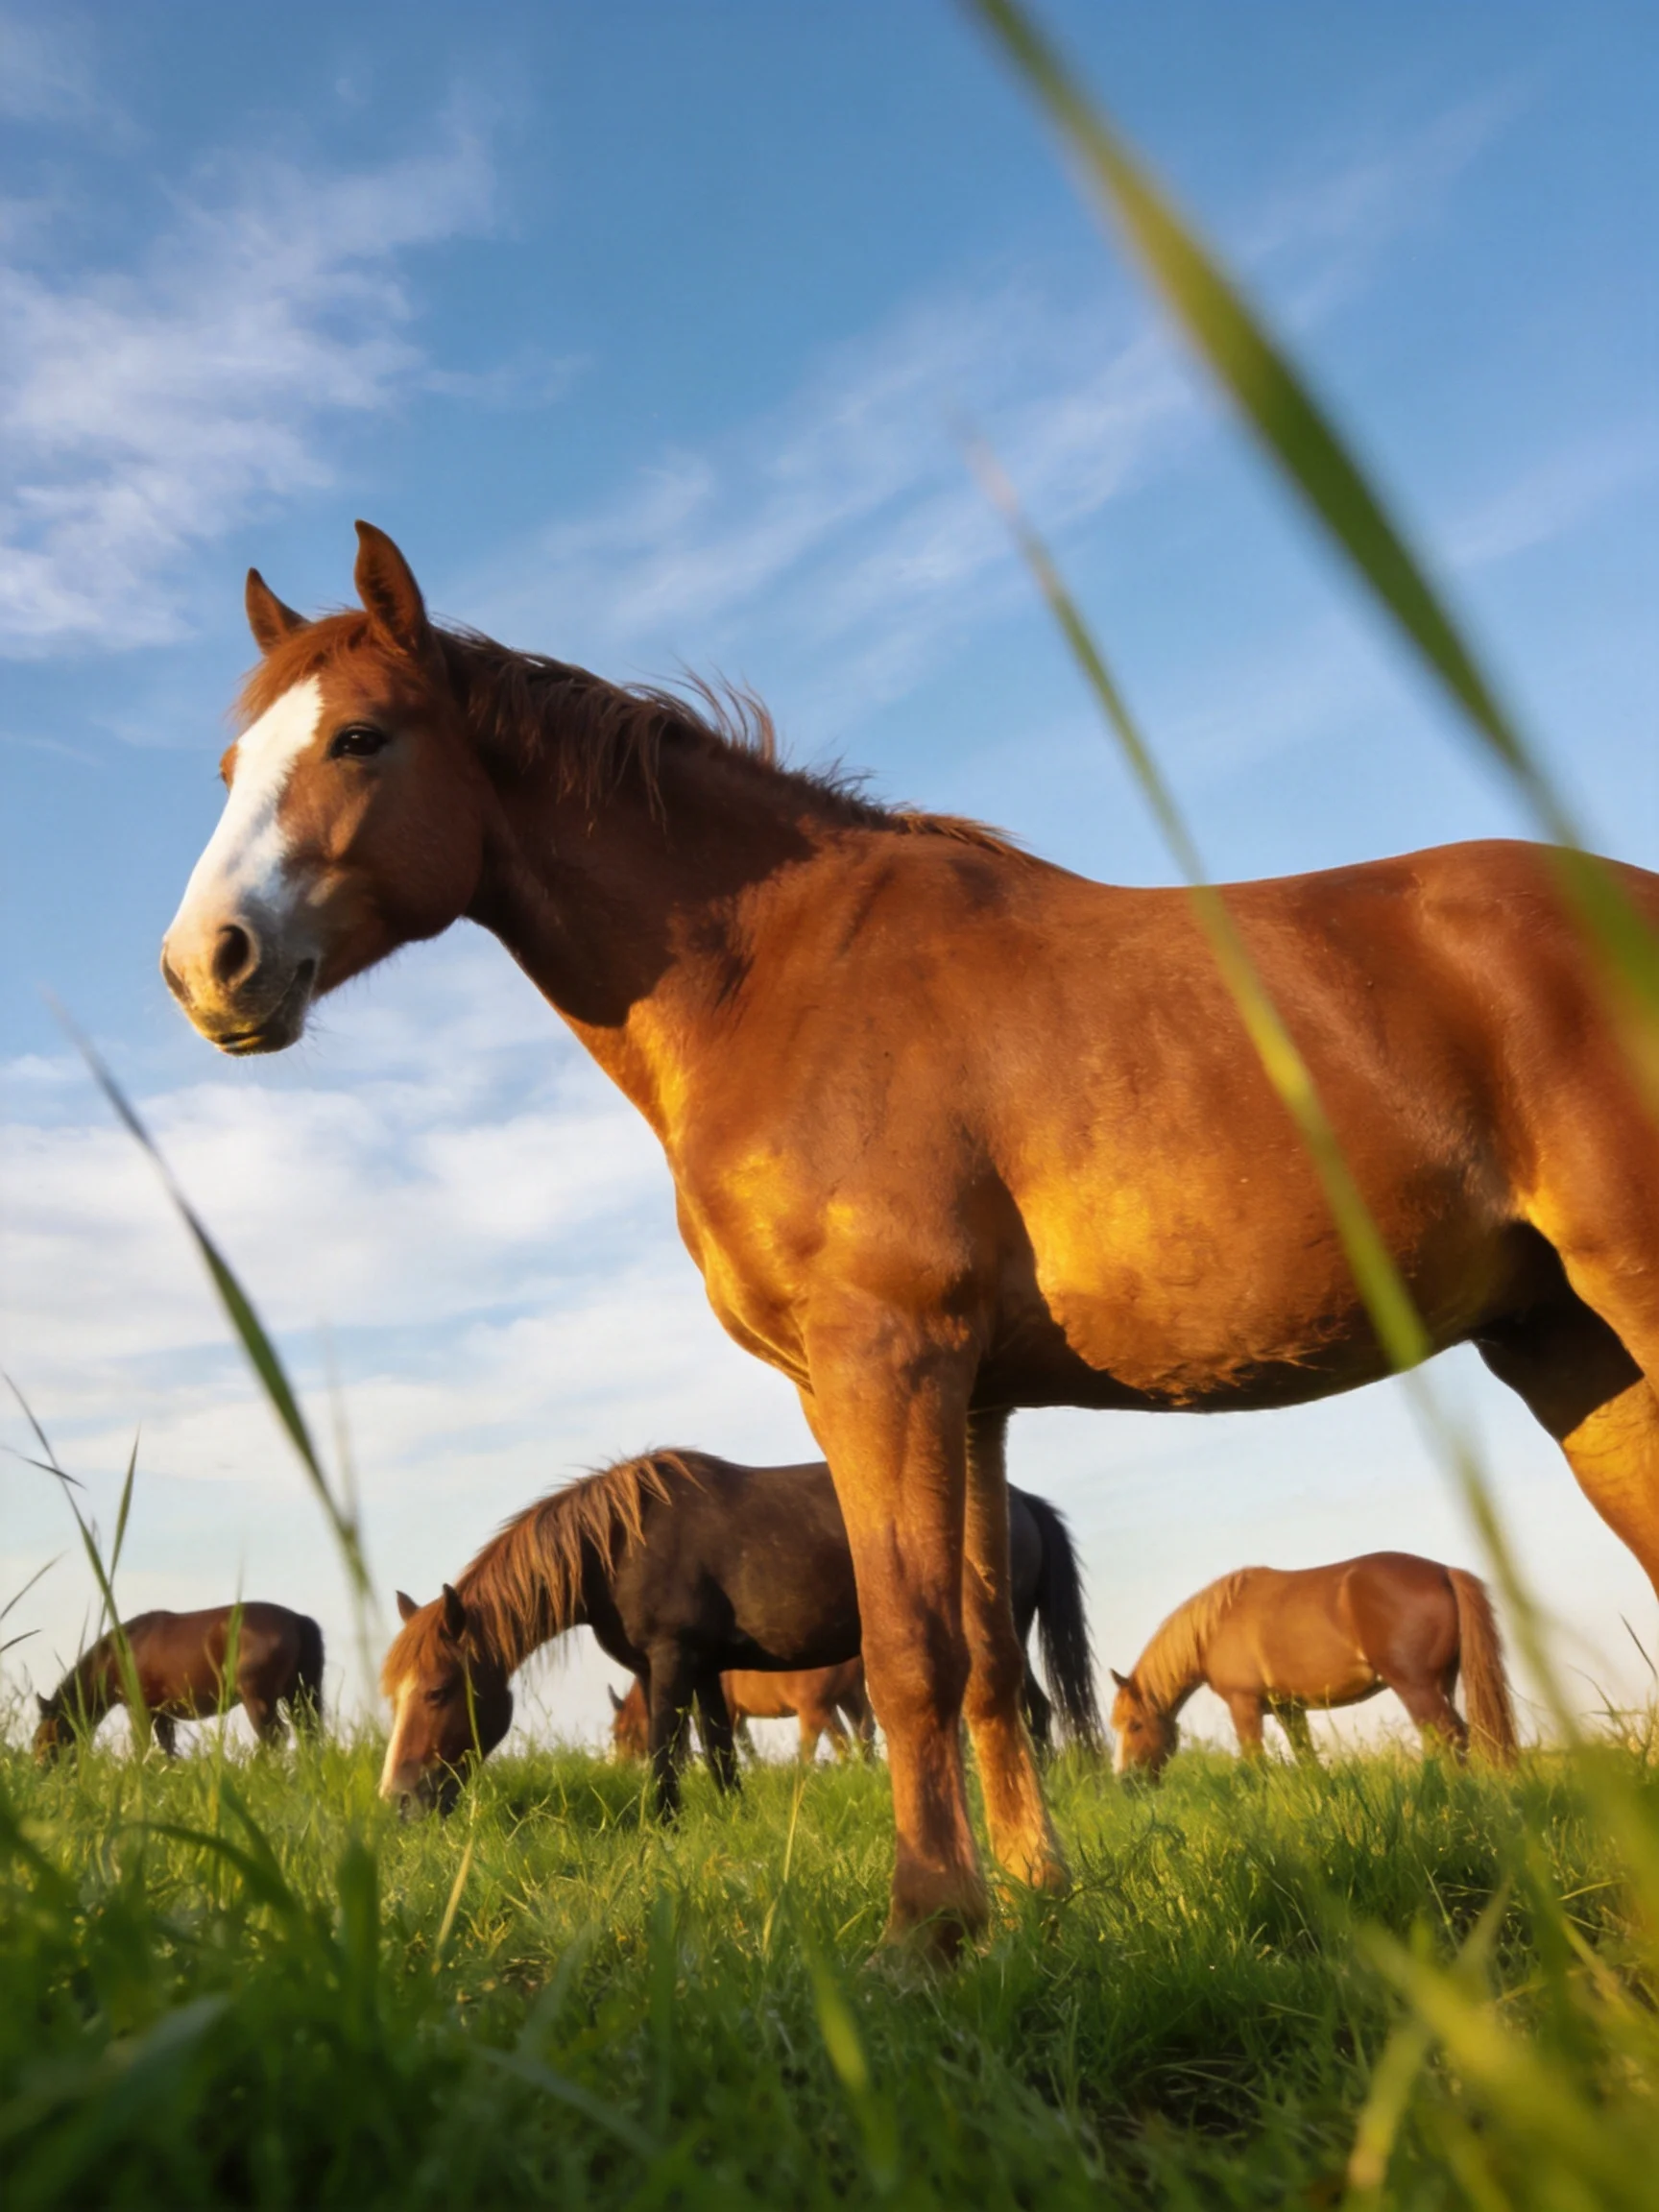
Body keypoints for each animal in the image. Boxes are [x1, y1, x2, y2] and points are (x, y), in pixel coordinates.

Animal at [32, 1603, 324, 1762]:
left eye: (41, 1740)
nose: (40, 1772)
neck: (118, 1654)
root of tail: (297, 1620)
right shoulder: (162, 1714)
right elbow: (168, 1749)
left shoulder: (140, 1709)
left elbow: (142, 1746)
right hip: (299, 1697)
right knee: (309, 1733)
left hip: (259, 1700)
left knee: (275, 1737)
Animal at [609, 1661, 877, 1766]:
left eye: (623, 1731)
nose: (621, 1767)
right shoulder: (737, 1714)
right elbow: (747, 1746)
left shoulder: (723, 1709)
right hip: (848, 1696)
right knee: (862, 1733)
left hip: (816, 1708)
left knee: (820, 1745)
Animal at [1110, 1552, 1517, 1777]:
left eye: (1134, 1725)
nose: (1127, 1782)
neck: (1215, 1626)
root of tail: (1444, 1571)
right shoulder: (1289, 1709)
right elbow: (1307, 1759)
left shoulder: (1244, 1705)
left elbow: (1255, 1765)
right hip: (1440, 1685)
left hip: (1416, 1688)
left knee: (1449, 1739)